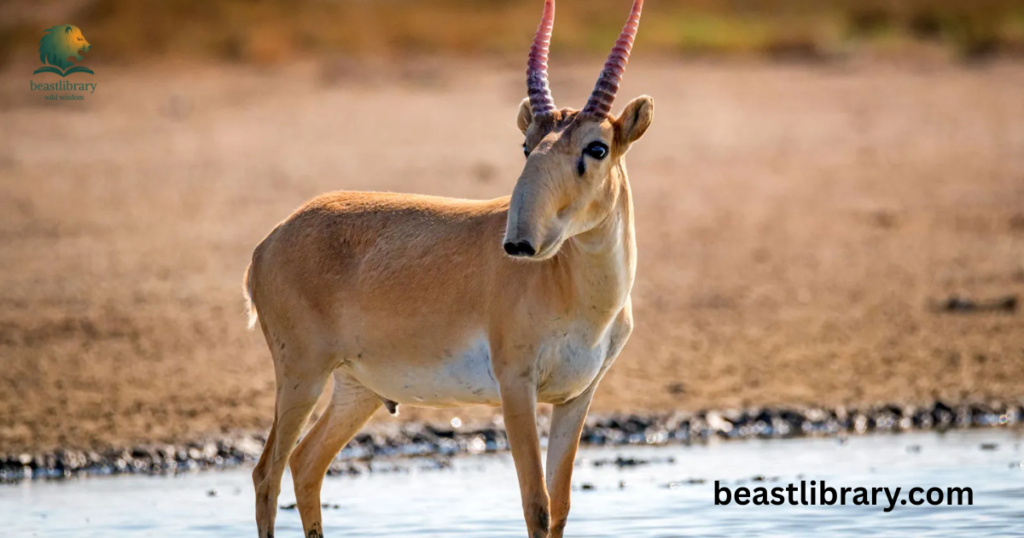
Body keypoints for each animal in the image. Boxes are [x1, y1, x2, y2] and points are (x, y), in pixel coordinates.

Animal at [245, 0, 652, 536]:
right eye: (527, 146)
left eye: (597, 147)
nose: (519, 243)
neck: (577, 293)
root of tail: (267, 244)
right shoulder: (516, 386)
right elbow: (536, 504)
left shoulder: (576, 397)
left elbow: (560, 507)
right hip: (302, 376)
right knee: (267, 471)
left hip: (357, 389)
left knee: (305, 463)